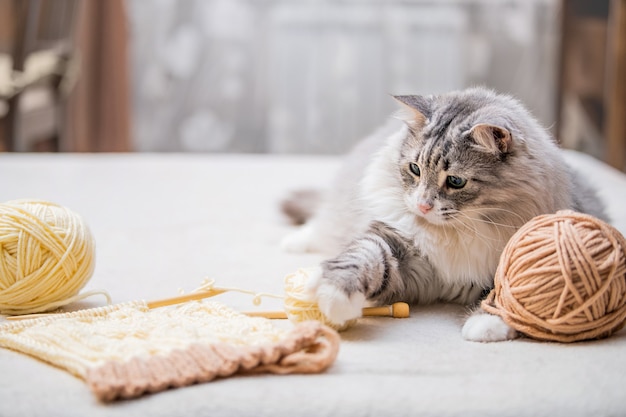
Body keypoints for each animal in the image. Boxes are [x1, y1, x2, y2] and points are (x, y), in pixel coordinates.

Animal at [282, 87, 604, 342]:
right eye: (415, 169)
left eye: (456, 181)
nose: (423, 206)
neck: (459, 233)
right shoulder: (396, 244)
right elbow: (361, 257)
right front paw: (332, 296)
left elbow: (510, 289)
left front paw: (487, 324)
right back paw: (294, 242)